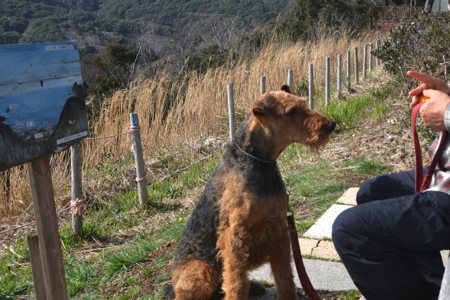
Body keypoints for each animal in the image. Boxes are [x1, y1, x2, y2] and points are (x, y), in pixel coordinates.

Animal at [165, 85, 334, 300]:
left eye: (304, 103)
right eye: (291, 111)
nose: (331, 125)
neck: (259, 161)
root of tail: (173, 284)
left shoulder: (278, 229)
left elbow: (285, 277)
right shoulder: (234, 236)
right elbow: (235, 283)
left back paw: (254, 286)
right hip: (202, 271)